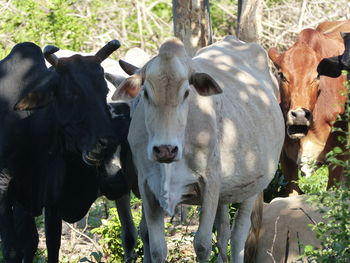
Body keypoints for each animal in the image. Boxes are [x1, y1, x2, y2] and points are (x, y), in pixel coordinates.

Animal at [0, 40, 126, 262]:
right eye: (73, 93)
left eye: (104, 91)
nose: (107, 142)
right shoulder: (3, 189)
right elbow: (12, 250)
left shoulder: (51, 197)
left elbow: (51, 246)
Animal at [112, 36, 284, 262]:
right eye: (146, 93)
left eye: (186, 92)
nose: (165, 150)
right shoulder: (147, 187)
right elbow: (157, 247)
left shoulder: (210, 183)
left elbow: (202, 244)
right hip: (225, 193)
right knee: (223, 231)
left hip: (253, 186)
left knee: (239, 234)